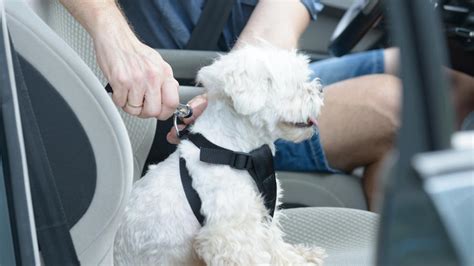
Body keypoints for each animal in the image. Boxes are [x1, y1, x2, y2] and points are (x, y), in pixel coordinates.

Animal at [114, 44, 326, 264]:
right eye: (296, 86)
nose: (320, 89)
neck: (236, 153)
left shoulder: (261, 213)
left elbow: (274, 243)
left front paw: (300, 257)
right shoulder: (230, 235)